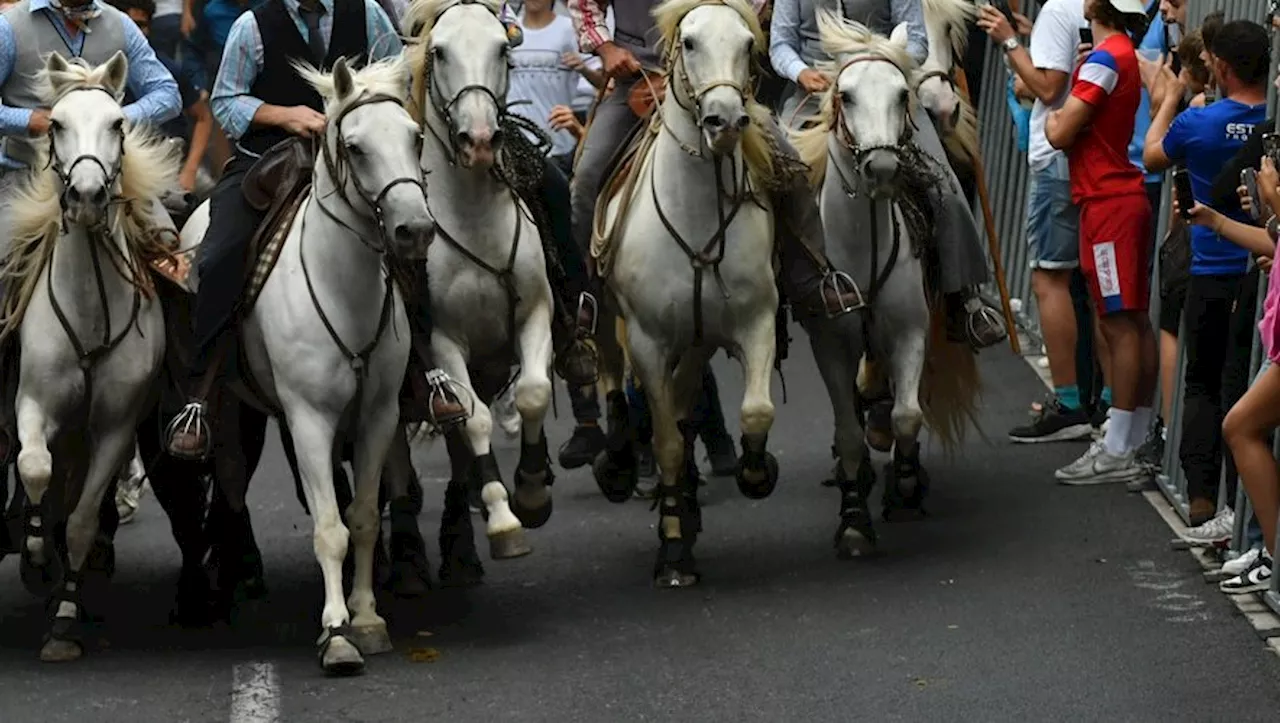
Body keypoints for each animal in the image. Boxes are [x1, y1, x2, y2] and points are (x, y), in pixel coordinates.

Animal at [1, 49, 176, 660]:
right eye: (55, 123)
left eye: (118, 123)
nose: (86, 197)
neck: (90, 308)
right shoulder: (32, 404)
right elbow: (34, 467)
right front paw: (33, 557)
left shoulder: (115, 427)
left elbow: (79, 519)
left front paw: (65, 618)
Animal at [404, 0, 555, 557]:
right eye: (440, 52)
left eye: (502, 50)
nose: (482, 141)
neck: (473, 220)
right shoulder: (444, 341)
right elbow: (474, 420)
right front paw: (503, 519)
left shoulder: (536, 313)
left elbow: (532, 391)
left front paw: (531, 493)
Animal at [591, 0, 773, 586]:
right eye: (689, 42)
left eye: (747, 43)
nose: (725, 122)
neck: (696, 217)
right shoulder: (648, 342)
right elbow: (667, 441)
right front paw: (672, 551)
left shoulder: (754, 322)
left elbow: (755, 410)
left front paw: (756, 471)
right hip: (611, 320)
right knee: (613, 375)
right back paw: (622, 465)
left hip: (696, 340)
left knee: (686, 398)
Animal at [788, 14, 977, 557]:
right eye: (846, 95)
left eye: (899, 94)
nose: (882, 168)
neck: (864, 245)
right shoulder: (832, 342)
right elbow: (849, 430)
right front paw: (854, 520)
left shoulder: (909, 329)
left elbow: (907, 415)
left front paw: (906, 487)